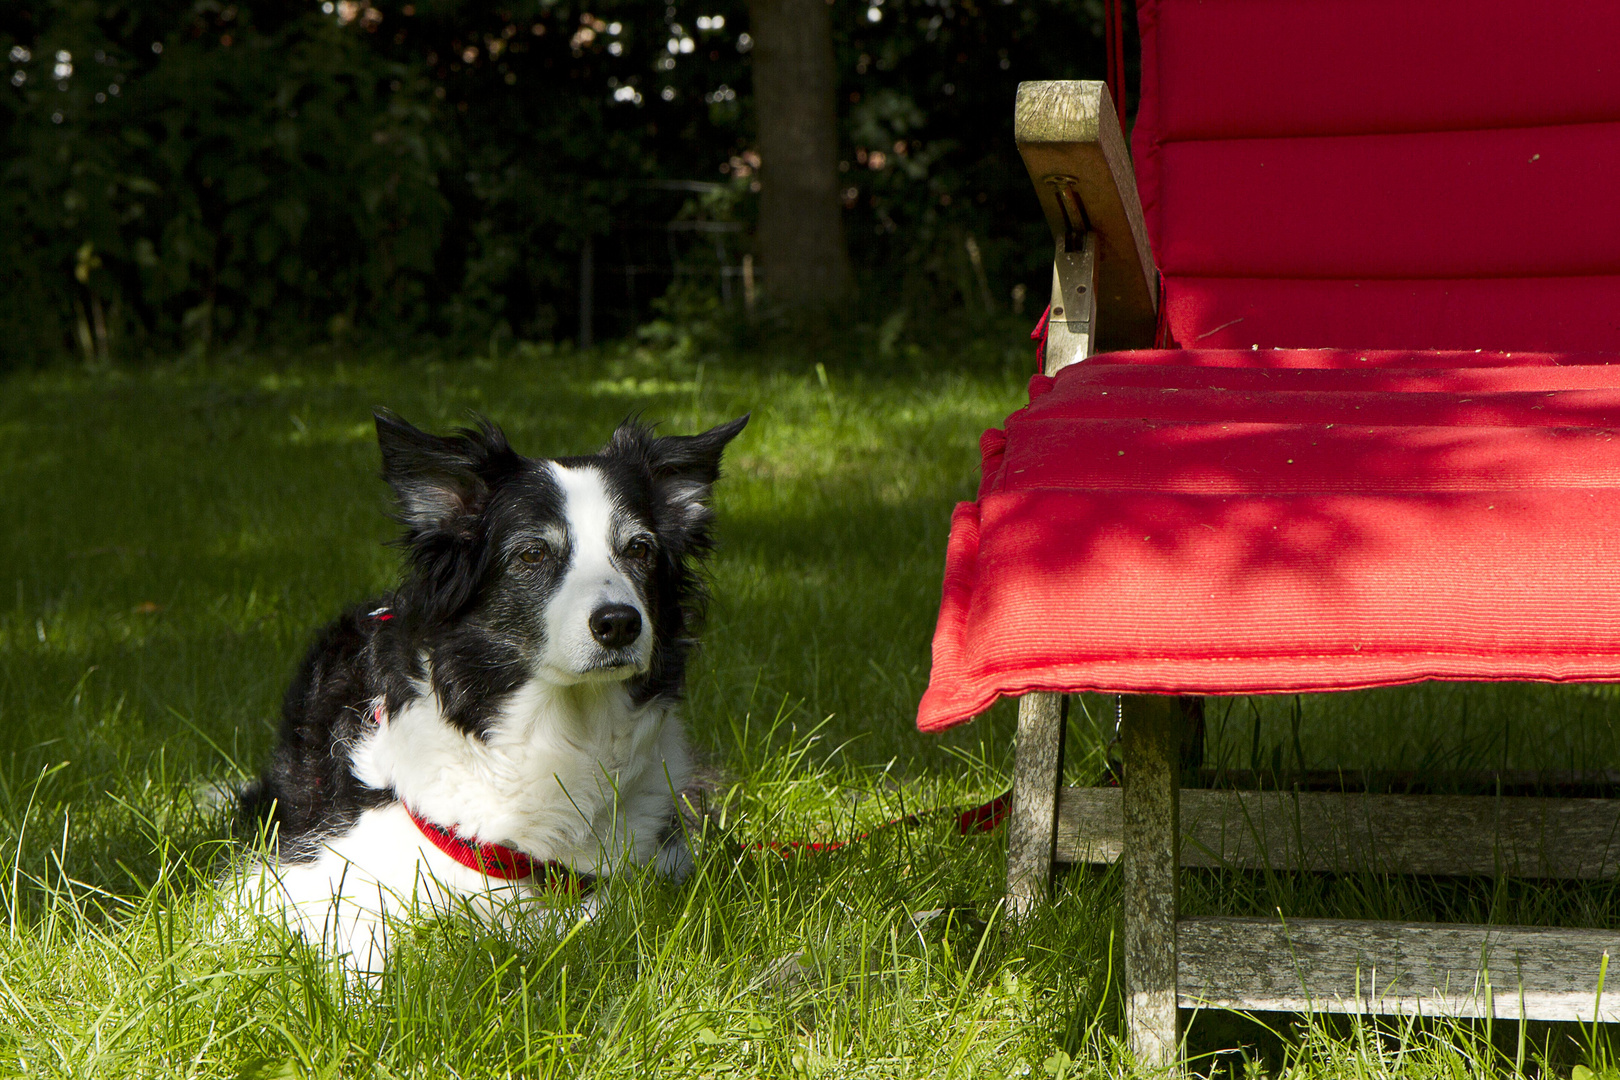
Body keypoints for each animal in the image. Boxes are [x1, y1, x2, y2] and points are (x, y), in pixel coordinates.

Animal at [234, 409, 745, 965]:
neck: (557, 732)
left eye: (640, 549)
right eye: (533, 553)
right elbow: (360, 938)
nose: (619, 624)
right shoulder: (294, 877)